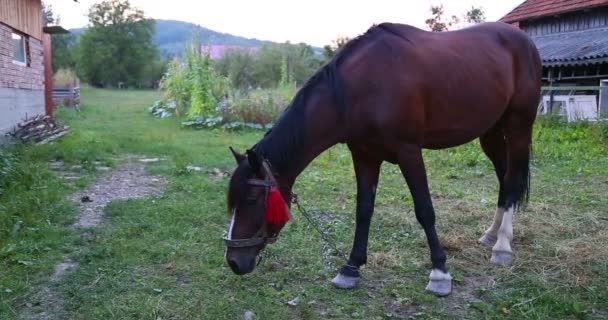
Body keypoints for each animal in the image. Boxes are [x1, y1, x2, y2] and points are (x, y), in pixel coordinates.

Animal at [223, 21, 540, 298]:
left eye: (252, 199)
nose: (234, 262)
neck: (362, 88)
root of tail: (523, 41)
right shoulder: (364, 156)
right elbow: (364, 209)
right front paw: (350, 268)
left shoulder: (409, 152)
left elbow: (425, 210)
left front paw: (440, 273)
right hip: (491, 132)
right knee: (504, 179)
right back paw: (491, 235)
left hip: (518, 126)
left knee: (512, 179)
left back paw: (502, 246)